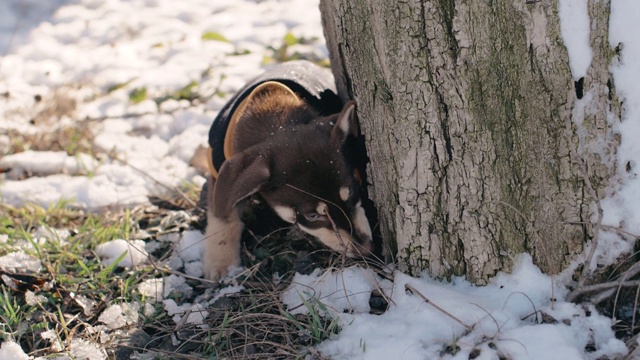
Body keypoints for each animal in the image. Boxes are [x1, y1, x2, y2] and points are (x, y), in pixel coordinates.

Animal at [201, 67, 370, 282]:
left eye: (354, 192)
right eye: (312, 215)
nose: (367, 250)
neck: (273, 118)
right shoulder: (221, 175)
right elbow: (224, 215)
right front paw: (221, 265)